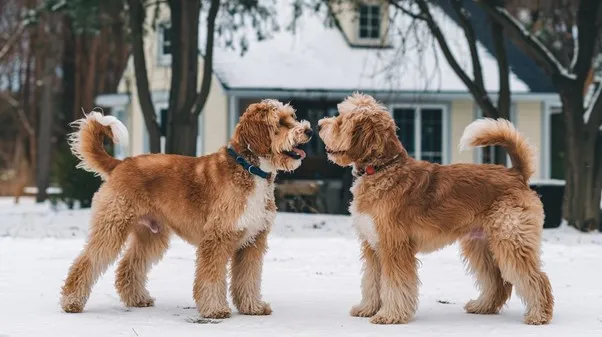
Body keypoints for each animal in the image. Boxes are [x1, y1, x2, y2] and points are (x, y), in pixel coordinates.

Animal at [60, 99, 312, 318]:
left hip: (151, 235)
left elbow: (248, 279)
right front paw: (215, 309)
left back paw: (138, 299)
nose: (308, 131)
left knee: (128, 267)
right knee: (87, 261)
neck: (250, 169)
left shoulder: (253, 241)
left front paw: (253, 307)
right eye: (280, 122)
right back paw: (71, 302)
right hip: (112, 227)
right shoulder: (217, 239)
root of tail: (120, 164)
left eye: (292, 116)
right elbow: (210, 278)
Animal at [316, 93, 552, 324]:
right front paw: (367, 308)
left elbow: (394, 284)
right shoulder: (372, 246)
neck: (383, 169)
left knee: (536, 278)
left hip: (511, 240)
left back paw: (539, 315)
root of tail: (516, 173)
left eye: (340, 120)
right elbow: (371, 281)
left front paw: (389, 315)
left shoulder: (394, 246)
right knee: (497, 281)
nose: (319, 125)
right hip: (480, 245)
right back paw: (483, 306)